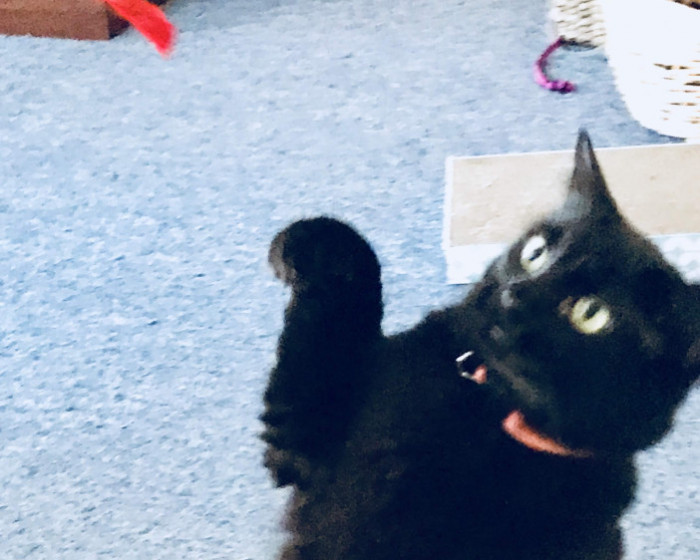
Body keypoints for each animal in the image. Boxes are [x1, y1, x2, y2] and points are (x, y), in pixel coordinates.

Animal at [261, 130, 700, 560]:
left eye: (591, 313)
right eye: (536, 253)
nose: (513, 294)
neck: (492, 406)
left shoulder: (300, 431)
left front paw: (302, 244)